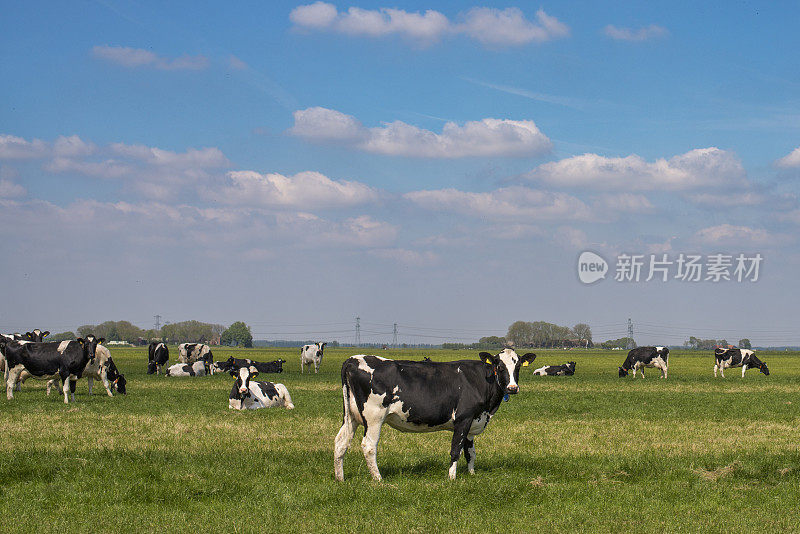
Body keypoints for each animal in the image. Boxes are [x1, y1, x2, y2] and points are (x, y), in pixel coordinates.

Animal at [332, 350, 536, 484]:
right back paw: (378, 479)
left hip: (351, 416)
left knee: (340, 442)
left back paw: (340, 478)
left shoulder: (474, 421)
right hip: (374, 417)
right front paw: (452, 478)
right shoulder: (463, 418)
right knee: (368, 446)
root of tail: (354, 359)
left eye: (518, 366)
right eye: (499, 366)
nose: (512, 388)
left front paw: (472, 474)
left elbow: (471, 452)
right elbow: (456, 449)